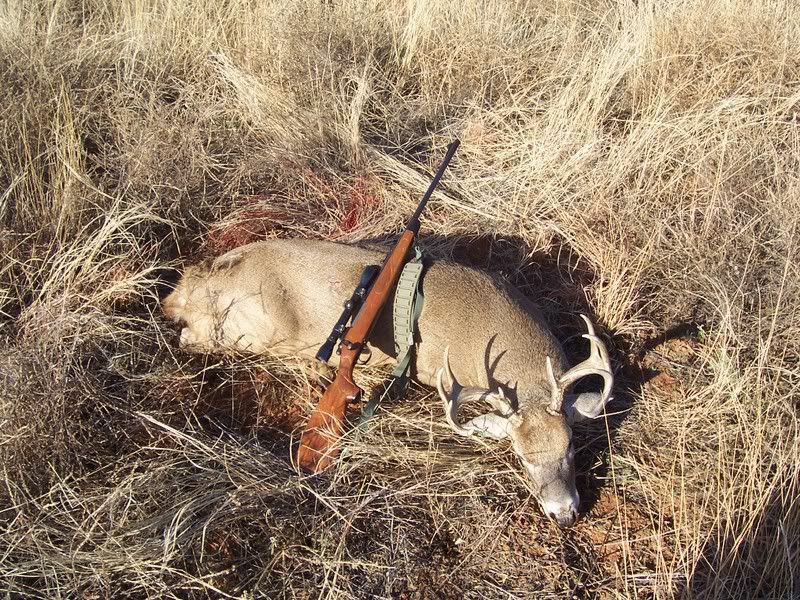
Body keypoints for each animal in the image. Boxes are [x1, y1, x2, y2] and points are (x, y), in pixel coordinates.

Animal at [161, 237, 612, 528]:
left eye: (571, 445)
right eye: (521, 457)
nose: (564, 514)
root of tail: (187, 288)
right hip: (249, 331)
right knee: (191, 338)